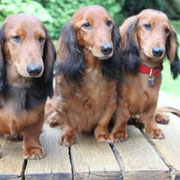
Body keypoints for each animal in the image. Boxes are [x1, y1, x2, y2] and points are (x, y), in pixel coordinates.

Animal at [0, 13, 55, 158]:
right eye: (16, 37)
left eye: (41, 38)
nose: (35, 70)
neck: (18, 86)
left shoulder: (37, 113)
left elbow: (32, 131)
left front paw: (33, 148)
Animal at [111, 8, 180, 141]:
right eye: (147, 25)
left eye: (167, 30)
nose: (158, 51)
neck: (147, 69)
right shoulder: (121, 99)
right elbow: (123, 115)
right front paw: (120, 131)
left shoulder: (153, 98)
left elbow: (150, 114)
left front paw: (153, 129)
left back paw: (160, 116)